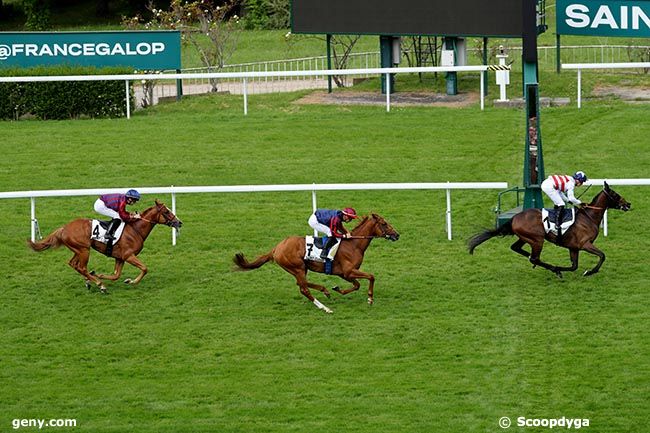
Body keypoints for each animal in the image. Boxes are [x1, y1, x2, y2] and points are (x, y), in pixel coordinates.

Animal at [27, 199, 180, 294]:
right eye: (167, 212)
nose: (179, 222)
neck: (135, 230)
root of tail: (64, 228)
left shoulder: (120, 257)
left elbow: (116, 275)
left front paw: (102, 275)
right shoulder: (128, 255)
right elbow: (144, 268)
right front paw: (132, 281)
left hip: (78, 250)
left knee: (74, 264)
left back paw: (90, 280)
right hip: (84, 250)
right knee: (81, 267)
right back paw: (100, 285)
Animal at [230, 213, 398, 312]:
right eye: (384, 223)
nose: (397, 235)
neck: (353, 244)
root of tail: (277, 247)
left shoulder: (344, 274)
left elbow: (356, 285)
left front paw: (338, 289)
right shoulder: (348, 271)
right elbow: (371, 276)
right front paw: (370, 299)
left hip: (302, 268)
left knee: (301, 284)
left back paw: (325, 290)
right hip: (297, 267)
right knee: (303, 288)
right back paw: (325, 308)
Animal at [468, 181, 632, 276]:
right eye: (615, 194)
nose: (628, 204)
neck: (588, 217)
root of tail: (514, 217)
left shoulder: (573, 247)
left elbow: (574, 266)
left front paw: (564, 269)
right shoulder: (584, 244)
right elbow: (602, 256)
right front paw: (590, 272)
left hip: (526, 238)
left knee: (517, 248)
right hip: (537, 239)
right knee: (535, 257)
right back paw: (550, 267)